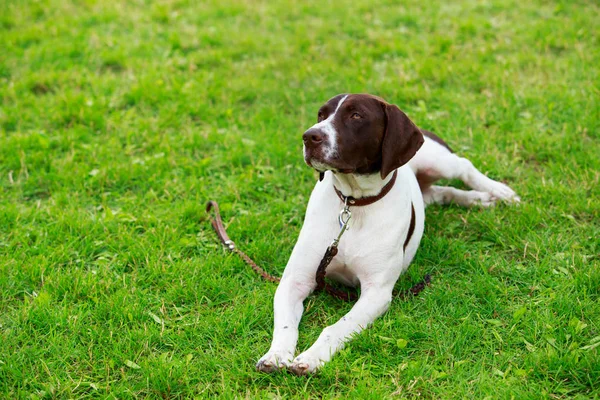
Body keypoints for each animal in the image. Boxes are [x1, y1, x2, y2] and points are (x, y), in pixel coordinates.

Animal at [255, 93, 516, 376]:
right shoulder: (295, 281)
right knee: (442, 192)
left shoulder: (376, 292)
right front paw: (276, 355)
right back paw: (479, 200)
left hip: (437, 161)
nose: (309, 136)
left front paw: (312, 357)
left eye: (356, 115)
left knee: (463, 167)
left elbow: (336, 327)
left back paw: (498, 192)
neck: (354, 204)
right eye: (321, 115)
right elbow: (285, 327)